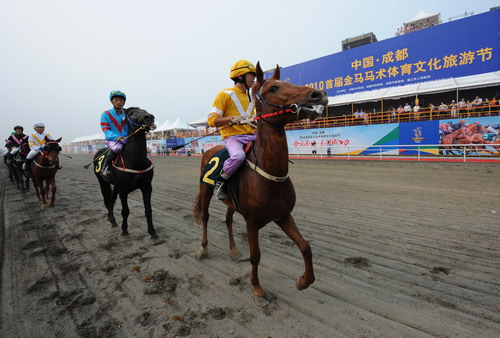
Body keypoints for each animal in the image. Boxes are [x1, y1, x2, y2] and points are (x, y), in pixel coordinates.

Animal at [92, 107, 158, 239]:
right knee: (107, 200)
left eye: (144, 110)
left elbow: (148, 210)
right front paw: (124, 231)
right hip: (102, 182)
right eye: (132, 113)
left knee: (111, 201)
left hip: (115, 186)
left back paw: (112, 220)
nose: (149, 117)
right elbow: (125, 211)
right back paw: (112, 221)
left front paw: (152, 233)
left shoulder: (147, 187)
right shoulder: (123, 189)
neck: (136, 162)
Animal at [192, 62, 328, 304]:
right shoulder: (252, 222)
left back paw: (234, 250)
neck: (271, 177)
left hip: (231, 204)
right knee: (205, 217)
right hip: (205, 190)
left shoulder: (283, 215)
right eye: (273, 88)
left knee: (228, 220)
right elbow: (256, 256)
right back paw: (203, 250)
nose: (318, 94)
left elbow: (305, 246)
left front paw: (303, 281)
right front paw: (257, 288)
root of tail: (209, 149)